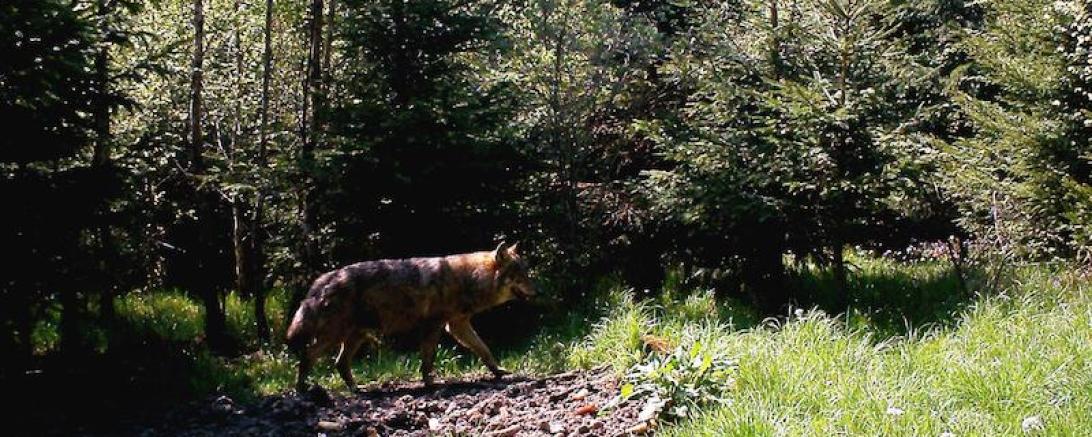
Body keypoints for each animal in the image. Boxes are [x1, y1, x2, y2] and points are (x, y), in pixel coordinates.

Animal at [285, 242, 536, 392]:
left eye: (526, 272)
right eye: (520, 274)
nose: (538, 291)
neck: (468, 278)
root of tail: (322, 280)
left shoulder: (457, 325)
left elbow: (484, 350)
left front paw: (498, 372)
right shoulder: (436, 326)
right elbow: (428, 359)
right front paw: (430, 383)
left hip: (355, 336)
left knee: (339, 363)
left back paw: (356, 390)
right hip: (335, 336)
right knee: (308, 356)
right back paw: (301, 389)